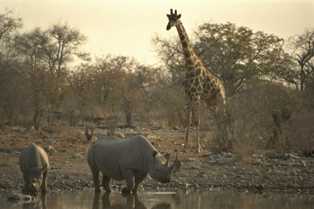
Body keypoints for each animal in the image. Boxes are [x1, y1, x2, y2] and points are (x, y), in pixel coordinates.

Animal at [166, 9, 227, 153]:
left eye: (176, 19)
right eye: (168, 18)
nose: (168, 27)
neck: (190, 65)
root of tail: (222, 85)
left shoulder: (197, 96)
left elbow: (197, 121)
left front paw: (198, 148)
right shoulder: (188, 96)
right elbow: (189, 121)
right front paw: (185, 146)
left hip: (221, 99)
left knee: (223, 117)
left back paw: (225, 141)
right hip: (210, 101)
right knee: (216, 118)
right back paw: (219, 140)